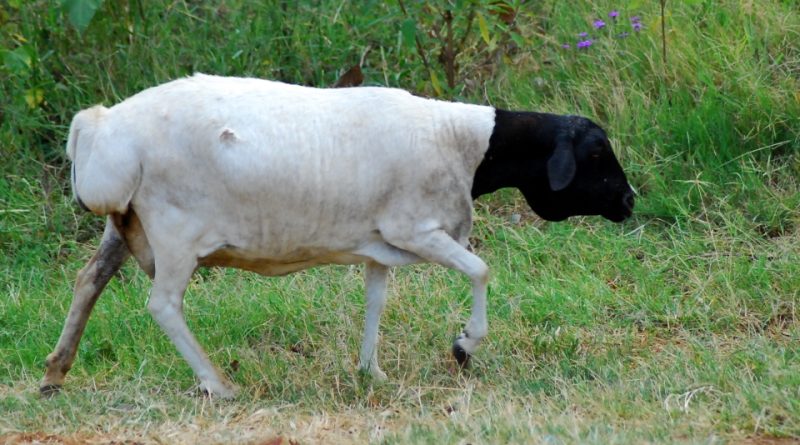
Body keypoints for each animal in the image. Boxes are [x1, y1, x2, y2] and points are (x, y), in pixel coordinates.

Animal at [42, 74, 632, 398]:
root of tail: (100, 127)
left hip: (124, 224)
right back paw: (218, 384)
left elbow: (376, 300)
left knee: (88, 281)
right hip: (174, 229)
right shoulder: (416, 228)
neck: (463, 146)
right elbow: (481, 270)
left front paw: (372, 373)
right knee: (163, 305)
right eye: (596, 154)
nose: (628, 202)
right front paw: (464, 346)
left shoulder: (378, 242)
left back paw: (55, 372)